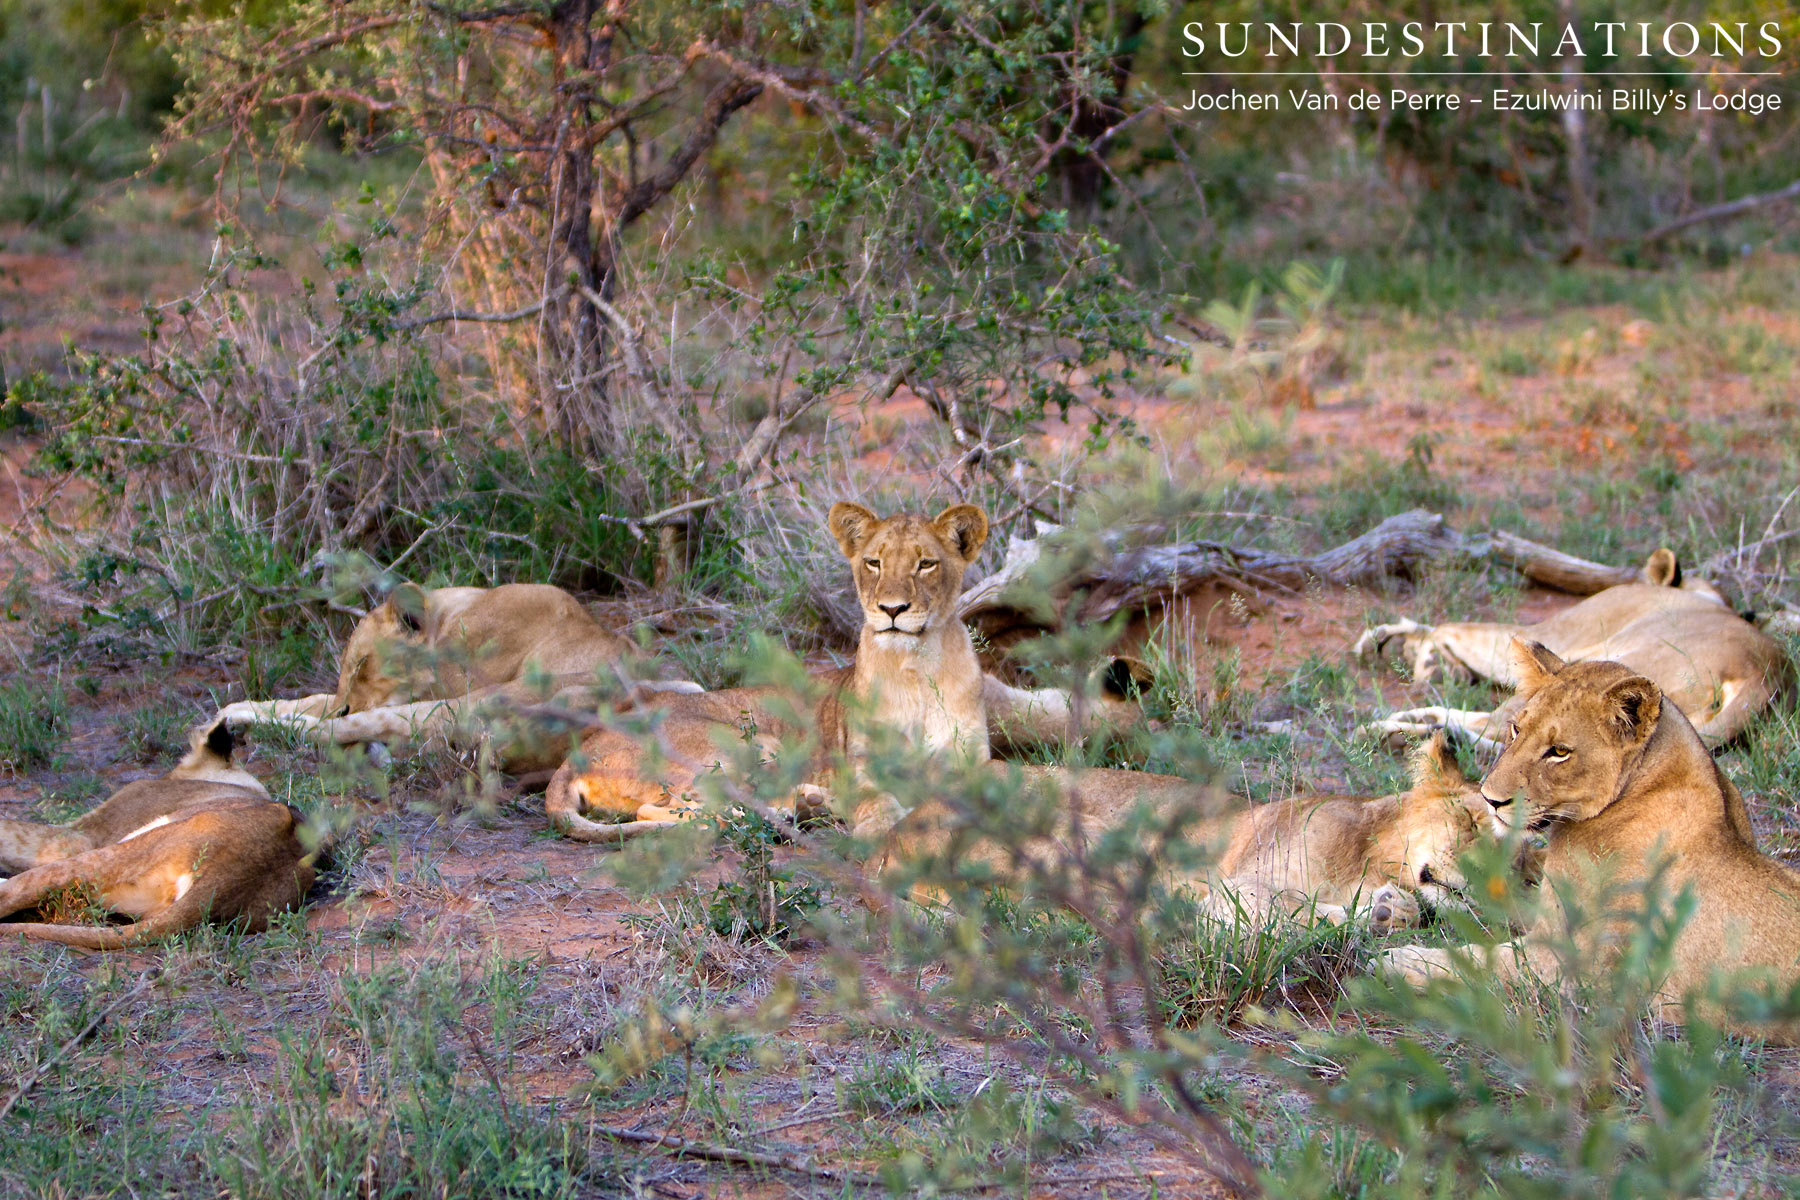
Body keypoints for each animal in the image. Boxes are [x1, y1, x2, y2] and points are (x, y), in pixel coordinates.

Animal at [545, 502, 1149, 841]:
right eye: (874, 562)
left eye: (926, 563)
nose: (893, 609)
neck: (914, 667)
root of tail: (576, 752)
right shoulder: (864, 767)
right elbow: (878, 802)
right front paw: (880, 827)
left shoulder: (966, 761)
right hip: (746, 743)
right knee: (679, 808)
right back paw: (789, 812)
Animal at [1357, 548, 1785, 749]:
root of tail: (1766, 677)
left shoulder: (1556, 632)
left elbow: (1450, 626)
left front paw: (1402, 646)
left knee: (1488, 727)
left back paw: (1392, 732)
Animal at [1379, 640, 1800, 1041]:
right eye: (1516, 729)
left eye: (1559, 752)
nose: (1491, 799)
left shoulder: (1570, 968)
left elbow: (1480, 961)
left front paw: (1401, 960)